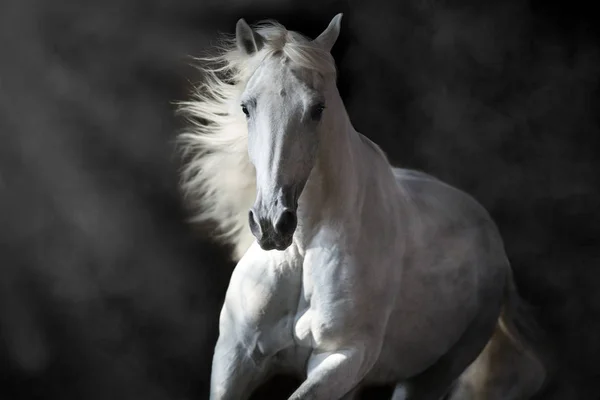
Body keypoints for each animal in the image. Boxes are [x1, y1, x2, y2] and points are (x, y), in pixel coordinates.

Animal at [178, 14, 548, 398]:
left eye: (317, 109)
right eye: (246, 107)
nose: (272, 224)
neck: (303, 250)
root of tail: (491, 238)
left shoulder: (342, 358)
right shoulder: (235, 357)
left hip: (431, 375)